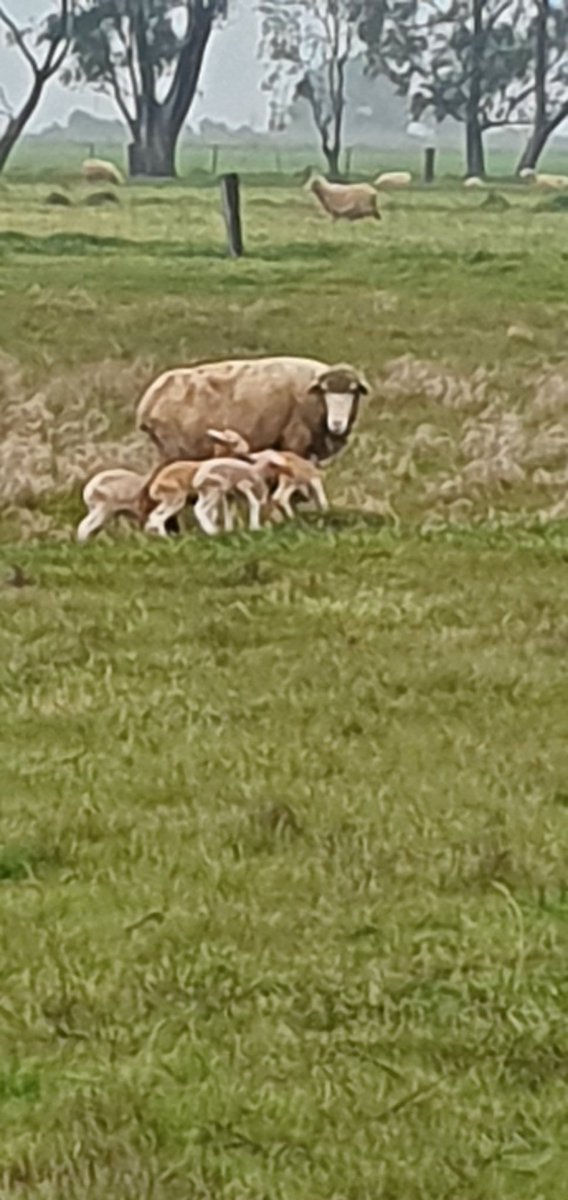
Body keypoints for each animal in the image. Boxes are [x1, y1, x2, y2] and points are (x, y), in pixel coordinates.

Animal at [136, 357, 370, 466]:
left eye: (353, 391)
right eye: (324, 391)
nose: (337, 424)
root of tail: (148, 402)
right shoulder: (295, 439)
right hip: (175, 449)